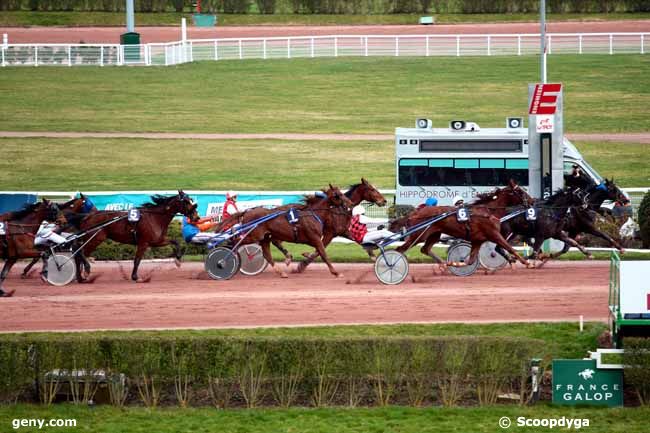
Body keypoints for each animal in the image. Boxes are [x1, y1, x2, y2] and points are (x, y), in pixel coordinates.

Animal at [220, 185, 352, 278]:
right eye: (338, 195)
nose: (350, 202)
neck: (313, 215)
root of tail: (247, 212)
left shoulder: (313, 239)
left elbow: (318, 252)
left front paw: (303, 257)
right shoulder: (314, 238)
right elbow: (323, 253)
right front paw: (336, 272)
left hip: (264, 237)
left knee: (266, 254)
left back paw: (281, 273)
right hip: (253, 235)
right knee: (235, 241)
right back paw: (225, 260)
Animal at [390, 181, 532, 270]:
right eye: (520, 191)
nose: (532, 201)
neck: (488, 211)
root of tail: (415, 212)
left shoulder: (477, 240)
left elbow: (470, 260)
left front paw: (454, 263)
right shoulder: (494, 234)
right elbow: (509, 247)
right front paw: (527, 263)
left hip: (434, 234)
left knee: (425, 249)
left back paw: (443, 265)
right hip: (419, 235)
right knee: (400, 249)